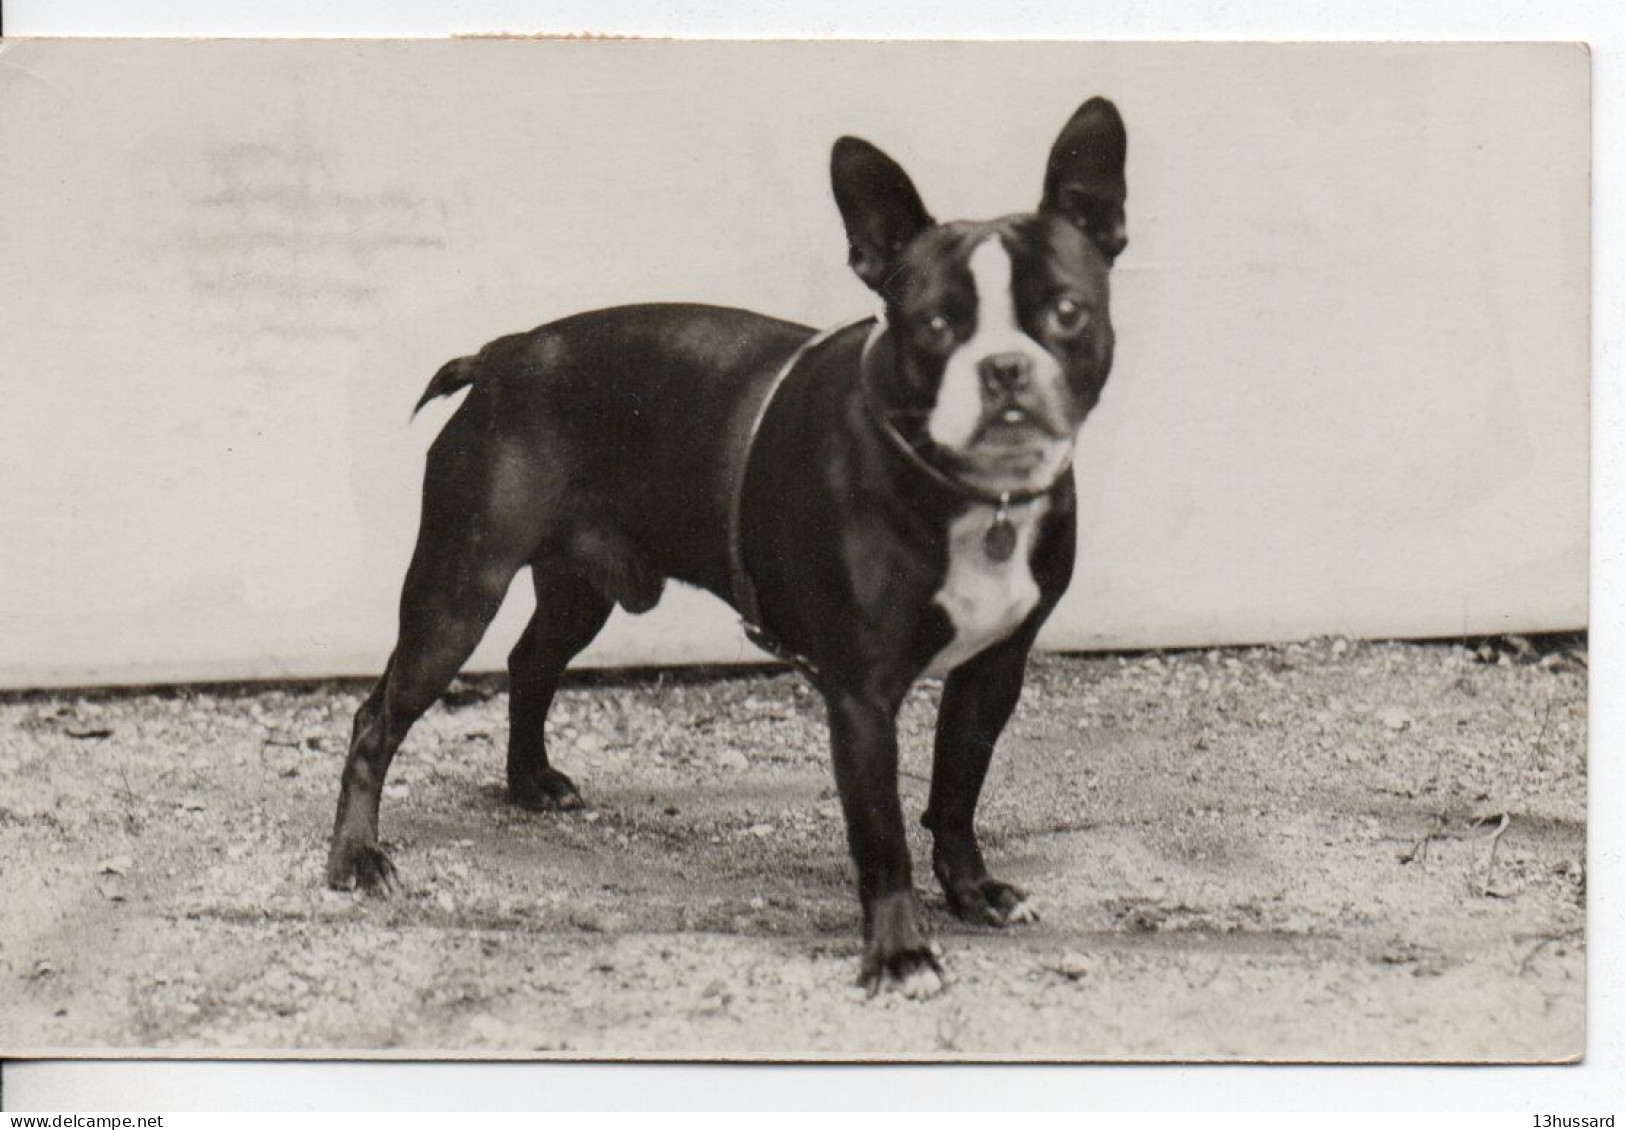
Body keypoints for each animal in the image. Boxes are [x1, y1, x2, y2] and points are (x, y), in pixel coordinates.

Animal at [323, 97, 1124, 1001]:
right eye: (933, 324)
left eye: (1067, 312)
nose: (1004, 367)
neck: (969, 494)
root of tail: (500, 354)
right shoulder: (859, 696)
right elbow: (881, 833)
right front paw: (898, 952)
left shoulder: (994, 669)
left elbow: (956, 790)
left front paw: (970, 890)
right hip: (458, 591)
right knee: (378, 715)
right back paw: (356, 857)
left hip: (578, 590)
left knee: (532, 664)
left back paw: (529, 784)